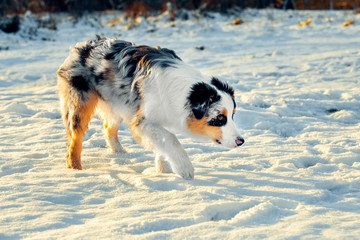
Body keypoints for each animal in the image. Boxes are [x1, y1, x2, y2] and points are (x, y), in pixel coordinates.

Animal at [57, 36, 245, 179]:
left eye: (232, 115)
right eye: (219, 118)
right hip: (80, 103)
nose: (241, 141)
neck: (183, 90)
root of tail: (81, 46)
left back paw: (120, 152)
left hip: (118, 103)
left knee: (108, 127)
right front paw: (184, 168)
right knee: (75, 138)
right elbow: (170, 139)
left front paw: (163, 172)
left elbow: (162, 145)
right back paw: (75, 169)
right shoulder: (144, 120)